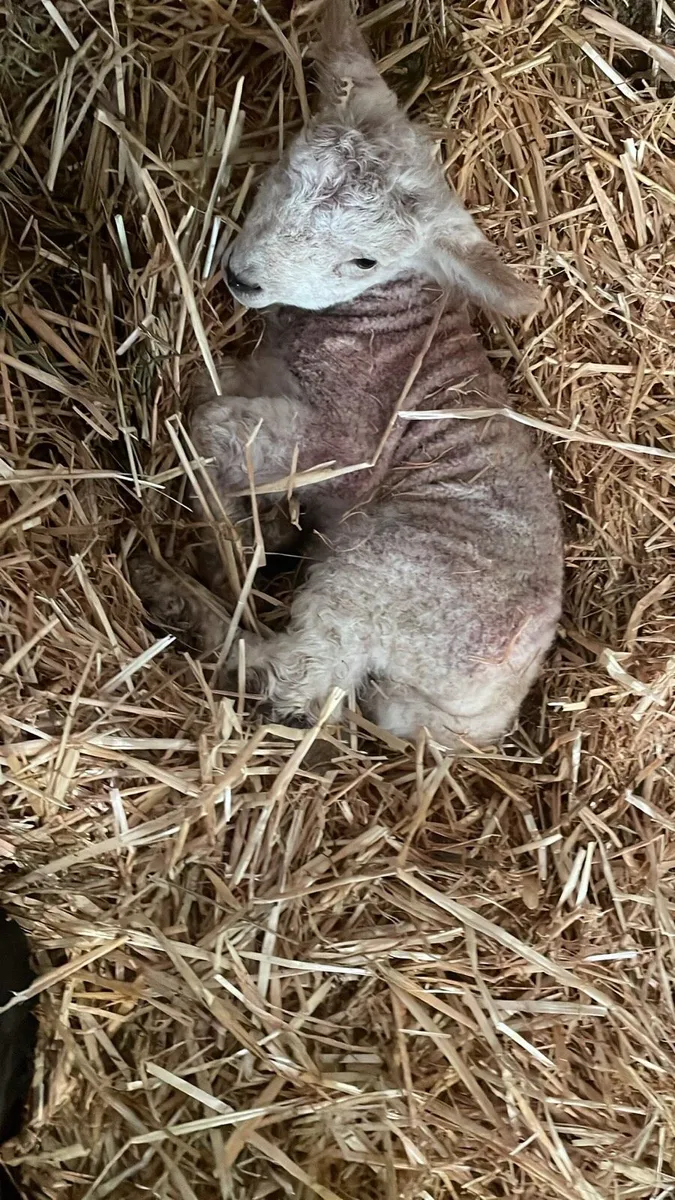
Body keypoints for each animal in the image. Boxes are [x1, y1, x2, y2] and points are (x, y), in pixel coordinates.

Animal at [131, 0, 563, 751]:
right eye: (286, 172)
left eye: (365, 261)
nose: (243, 278)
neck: (381, 319)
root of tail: (484, 714)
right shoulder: (257, 369)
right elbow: (206, 395)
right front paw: (255, 527)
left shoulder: (339, 441)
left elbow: (207, 423)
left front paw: (229, 538)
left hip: (382, 573)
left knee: (296, 683)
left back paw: (180, 598)